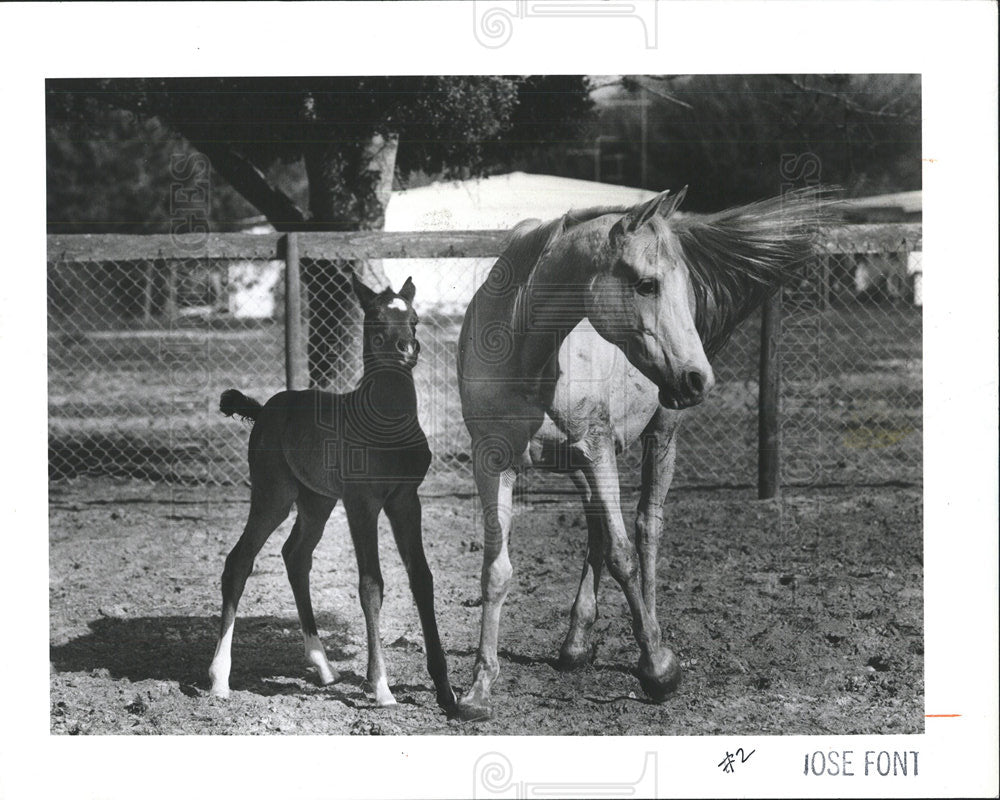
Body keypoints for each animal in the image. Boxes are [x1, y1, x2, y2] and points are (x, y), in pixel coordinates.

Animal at [212, 276, 460, 712]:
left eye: (414, 318)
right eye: (375, 317)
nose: (407, 349)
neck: (385, 423)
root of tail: (265, 410)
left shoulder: (405, 500)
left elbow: (422, 578)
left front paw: (447, 692)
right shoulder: (362, 503)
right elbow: (371, 585)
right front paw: (381, 688)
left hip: (317, 502)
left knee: (295, 556)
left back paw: (324, 666)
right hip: (273, 496)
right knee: (239, 562)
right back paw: (219, 679)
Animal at [454, 186, 828, 720]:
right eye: (646, 284)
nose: (698, 378)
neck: (526, 351)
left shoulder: (596, 449)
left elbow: (625, 554)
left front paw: (658, 668)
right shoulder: (493, 461)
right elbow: (496, 570)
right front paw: (478, 688)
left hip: (658, 435)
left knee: (647, 527)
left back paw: (647, 631)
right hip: (581, 462)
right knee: (596, 530)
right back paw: (576, 643)